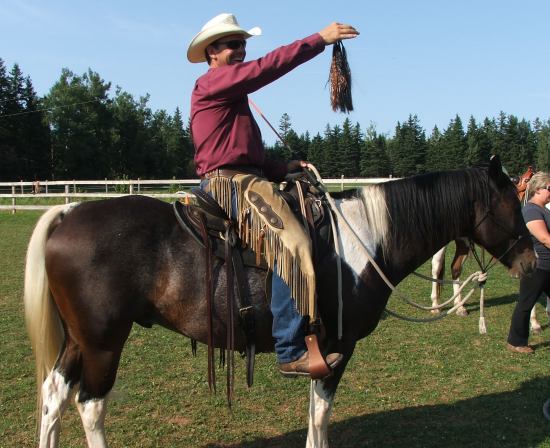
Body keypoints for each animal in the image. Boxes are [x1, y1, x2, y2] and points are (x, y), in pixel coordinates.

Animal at [23, 156, 536, 446]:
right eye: (513, 202)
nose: (533, 258)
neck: (365, 242)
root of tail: (69, 211)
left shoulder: (323, 351)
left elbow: (315, 411)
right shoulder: (338, 348)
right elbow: (321, 413)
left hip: (79, 342)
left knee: (54, 398)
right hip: (103, 344)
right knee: (90, 405)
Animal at [430, 164, 548, 328]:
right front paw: (534, 322)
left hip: (463, 243)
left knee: (455, 268)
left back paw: (460, 307)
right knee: (436, 267)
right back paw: (435, 305)